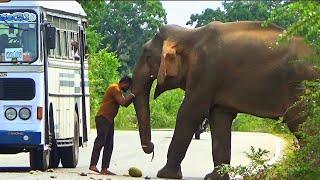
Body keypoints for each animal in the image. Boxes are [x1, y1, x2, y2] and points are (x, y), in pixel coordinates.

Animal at [131, 20, 320, 179]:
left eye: (148, 57)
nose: (151, 147)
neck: (189, 34)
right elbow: (219, 118)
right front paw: (214, 177)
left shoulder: (205, 72)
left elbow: (190, 113)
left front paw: (164, 174)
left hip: (301, 86)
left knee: (301, 123)